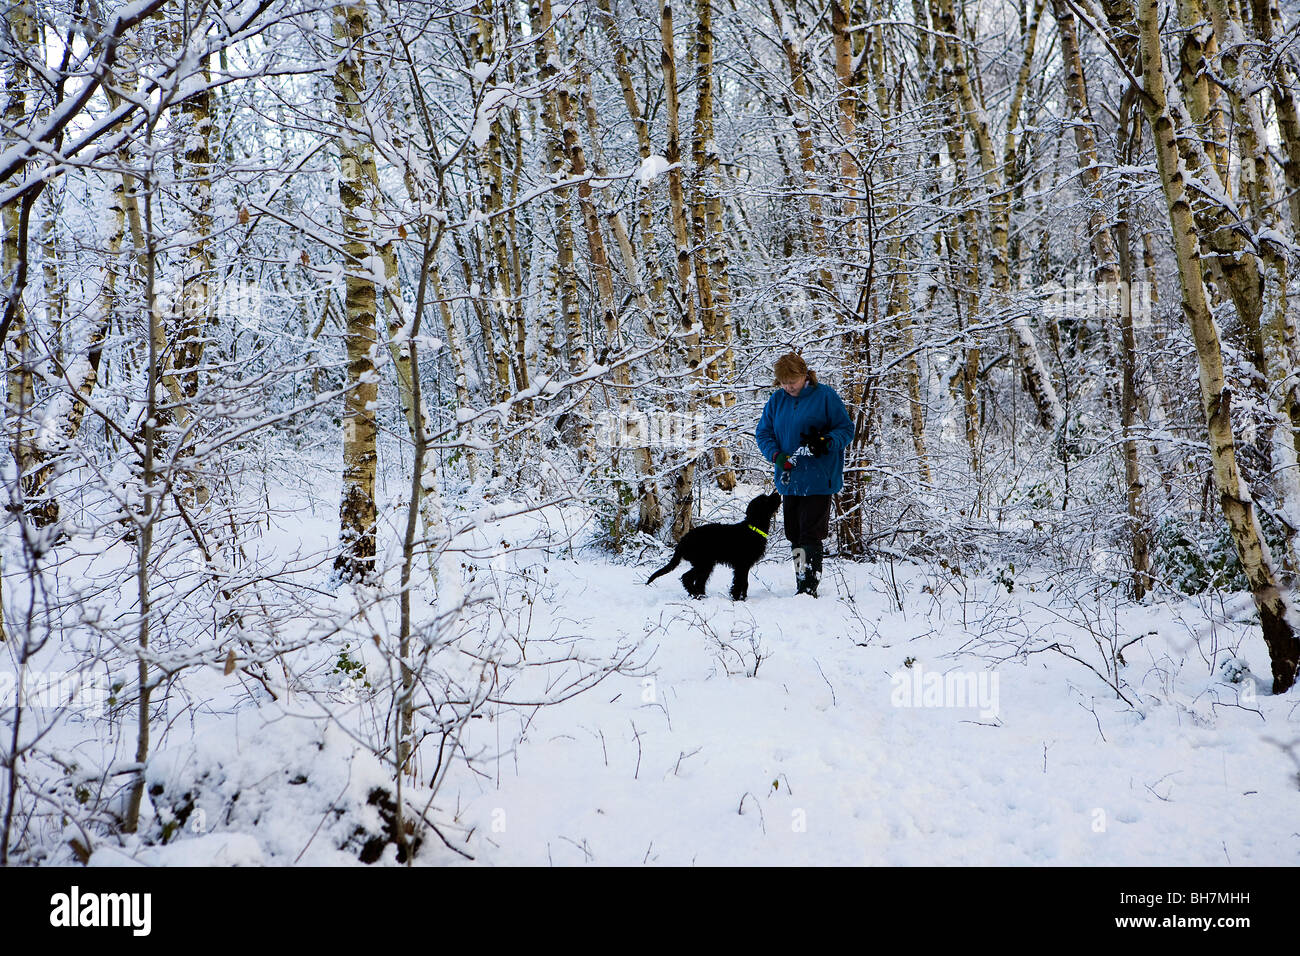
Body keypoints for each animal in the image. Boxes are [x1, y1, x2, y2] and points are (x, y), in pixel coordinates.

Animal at [642, 489, 774, 600]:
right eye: (766, 500)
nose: (776, 494)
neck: (753, 528)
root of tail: (683, 541)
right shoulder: (741, 565)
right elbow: (739, 583)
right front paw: (737, 599)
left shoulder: (744, 566)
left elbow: (744, 583)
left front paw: (743, 598)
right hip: (703, 563)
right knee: (687, 578)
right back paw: (695, 594)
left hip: (705, 564)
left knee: (699, 582)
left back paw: (700, 595)